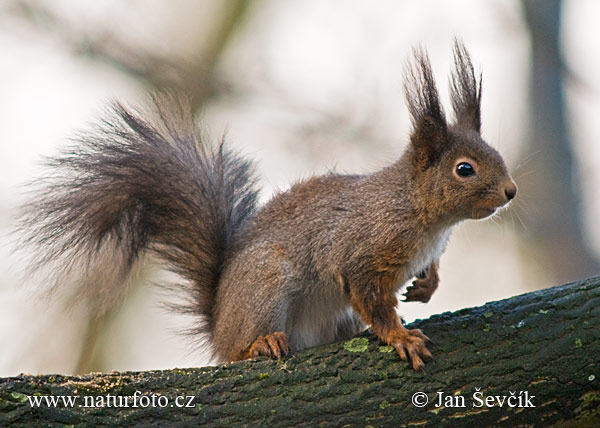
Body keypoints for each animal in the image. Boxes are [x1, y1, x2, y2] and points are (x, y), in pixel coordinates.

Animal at [18, 41, 516, 372]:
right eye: (465, 169)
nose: (511, 191)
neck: (419, 213)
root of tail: (219, 324)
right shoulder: (362, 251)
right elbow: (371, 298)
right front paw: (400, 336)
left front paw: (426, 285)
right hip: (267, 283)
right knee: (238, 350)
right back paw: (258, 345)